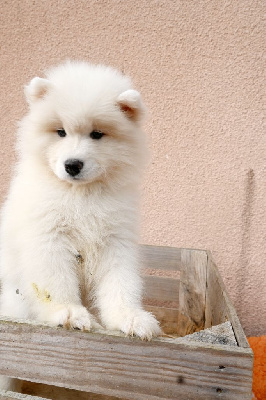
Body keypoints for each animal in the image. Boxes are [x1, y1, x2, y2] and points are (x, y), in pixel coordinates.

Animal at [0, 62, 160, 390]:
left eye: (97, 134)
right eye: (60, 132)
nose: (72, 164)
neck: (81, 195)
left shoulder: (116, 241)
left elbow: (121, 284)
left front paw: (131, 318)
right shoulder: (49, 239)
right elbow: (56, 282)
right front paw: (70, 314)